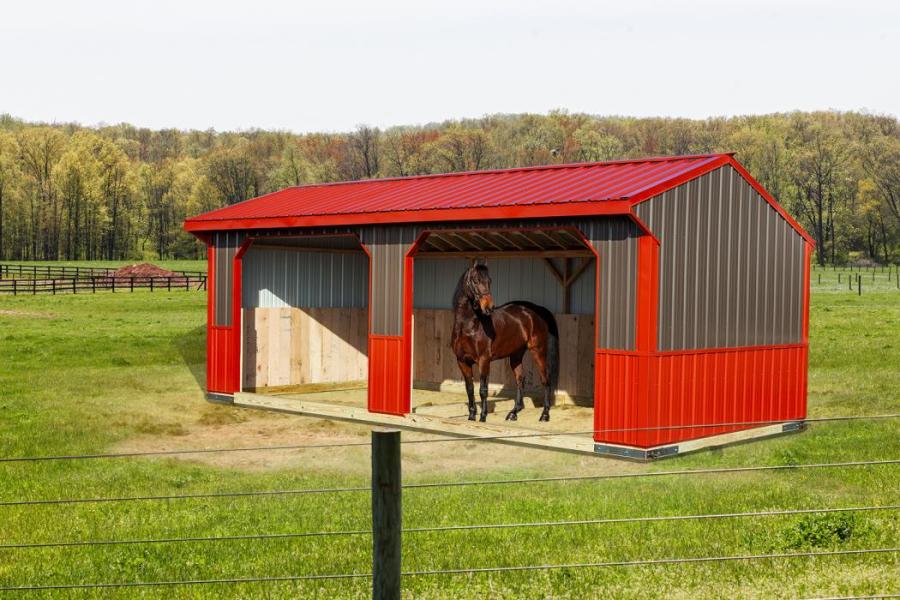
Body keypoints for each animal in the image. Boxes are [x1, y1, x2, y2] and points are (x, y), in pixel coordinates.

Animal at [448, 262, 556, 422]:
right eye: (475, 281)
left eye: (489, 281)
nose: (489, 307)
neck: (468, 326)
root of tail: (535, 312)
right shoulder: (462, 361)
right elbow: (470, 389)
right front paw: (472, 416)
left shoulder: (483, 360)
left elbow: (483, 390)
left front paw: (482, 417)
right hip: (516, 355)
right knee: (520, 379)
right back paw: (514, 413)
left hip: (538, 351)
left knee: (545, 379)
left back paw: (545, 415)